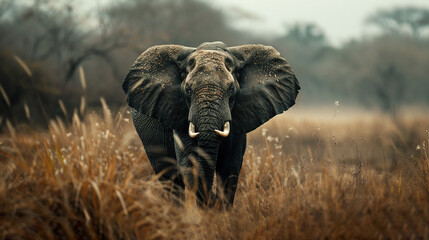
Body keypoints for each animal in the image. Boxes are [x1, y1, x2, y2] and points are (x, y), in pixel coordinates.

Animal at [122, 40, 300, 206]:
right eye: (187, 90)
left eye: (231, 90)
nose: (212, 200)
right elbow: (190, 160)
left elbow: (230, 164)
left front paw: (222, 213)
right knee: (168, 174)